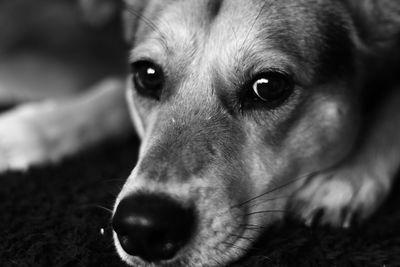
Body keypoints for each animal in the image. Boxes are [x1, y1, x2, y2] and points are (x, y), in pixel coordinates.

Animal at [0, 0, 400, 266]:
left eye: (268, 86)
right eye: (147, 75)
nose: (143, 226)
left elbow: (391, 110)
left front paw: (346, 177)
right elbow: (111, 91)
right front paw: (29, 130)